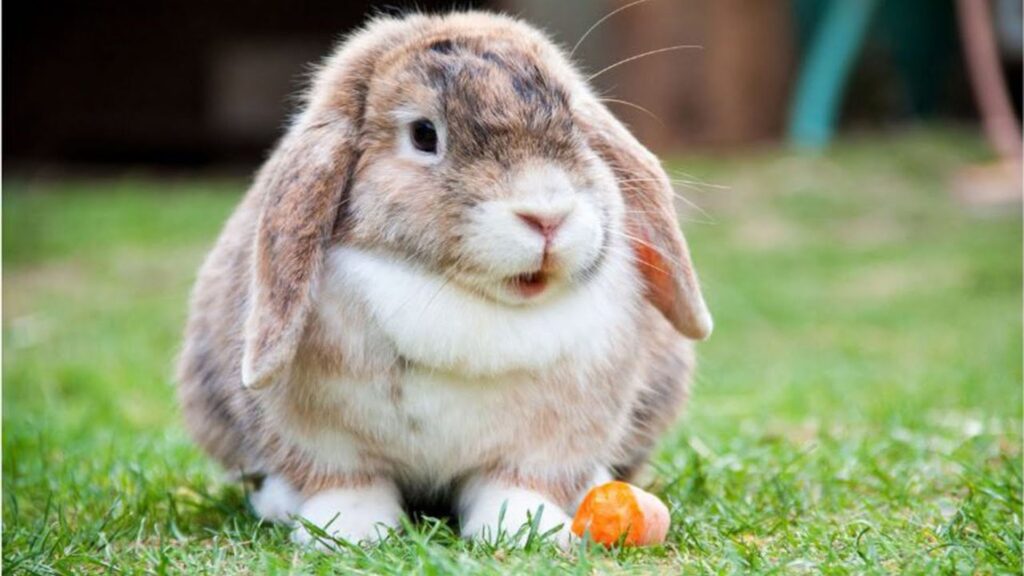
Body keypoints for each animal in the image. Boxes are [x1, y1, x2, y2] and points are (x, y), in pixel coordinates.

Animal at [176, 10, 712, 549]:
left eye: (576, 127)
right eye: (423, 135)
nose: (547, 216)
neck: (464, 298)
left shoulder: (548, 442)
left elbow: (516, 483)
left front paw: (524, 530)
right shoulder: (323, 440)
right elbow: (348, 482)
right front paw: (349, 531)